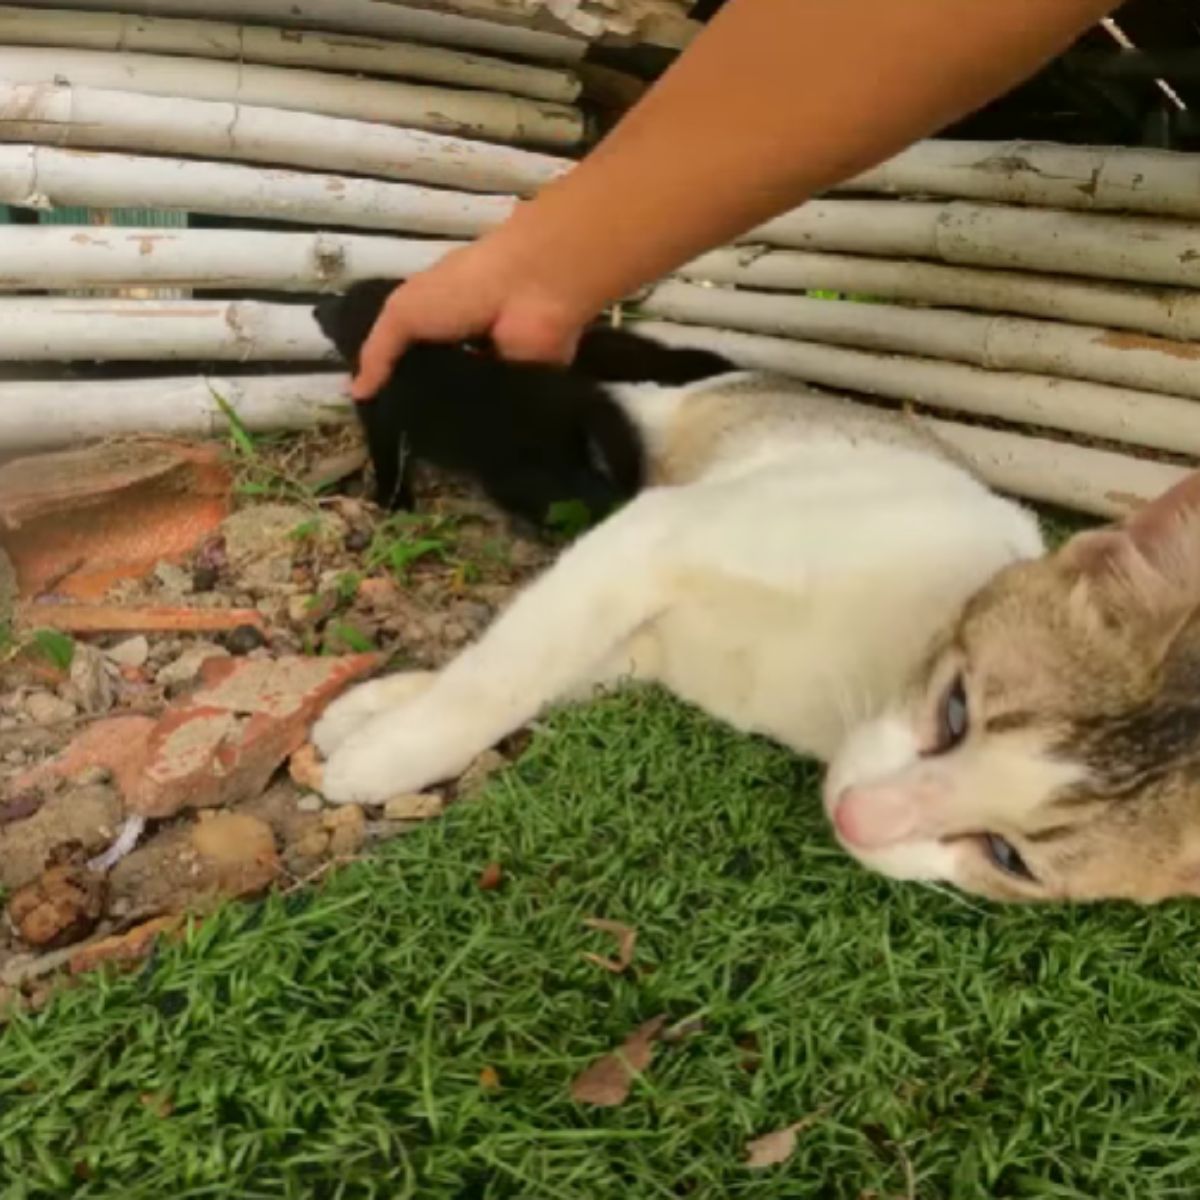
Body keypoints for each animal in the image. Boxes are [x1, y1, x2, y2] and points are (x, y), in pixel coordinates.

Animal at [312, 283, 729, 528]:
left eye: (343, 303)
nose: (317, 306)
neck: (417, 358)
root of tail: (582, 397)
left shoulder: (382, 425)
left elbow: (390, 468)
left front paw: (392, 505)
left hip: (525, 478)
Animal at [312, 326, 1200, 902]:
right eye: (955, 710)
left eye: (1007, 858)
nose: (859, 820)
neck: (869, 668)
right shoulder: (648, 537)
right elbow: (503, 670)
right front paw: (390, 745)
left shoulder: (648, 637)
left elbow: (542, 667)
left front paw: (378, 716)